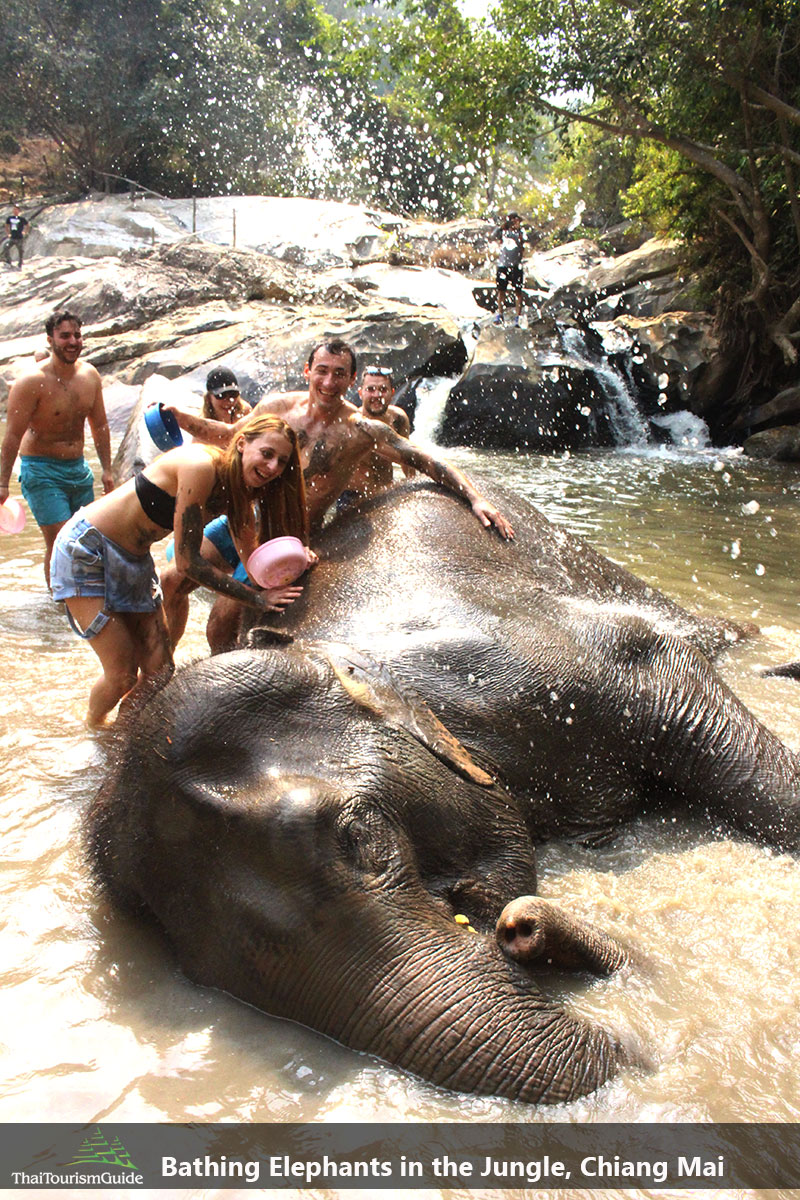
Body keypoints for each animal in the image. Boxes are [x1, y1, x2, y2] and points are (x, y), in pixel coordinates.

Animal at [89, 475, 800, 1104]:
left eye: (361, 839)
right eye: (204, 971)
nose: (522, 926)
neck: (328, 650)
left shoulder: (562, 663)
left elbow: (678, 685)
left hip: (583, 559)